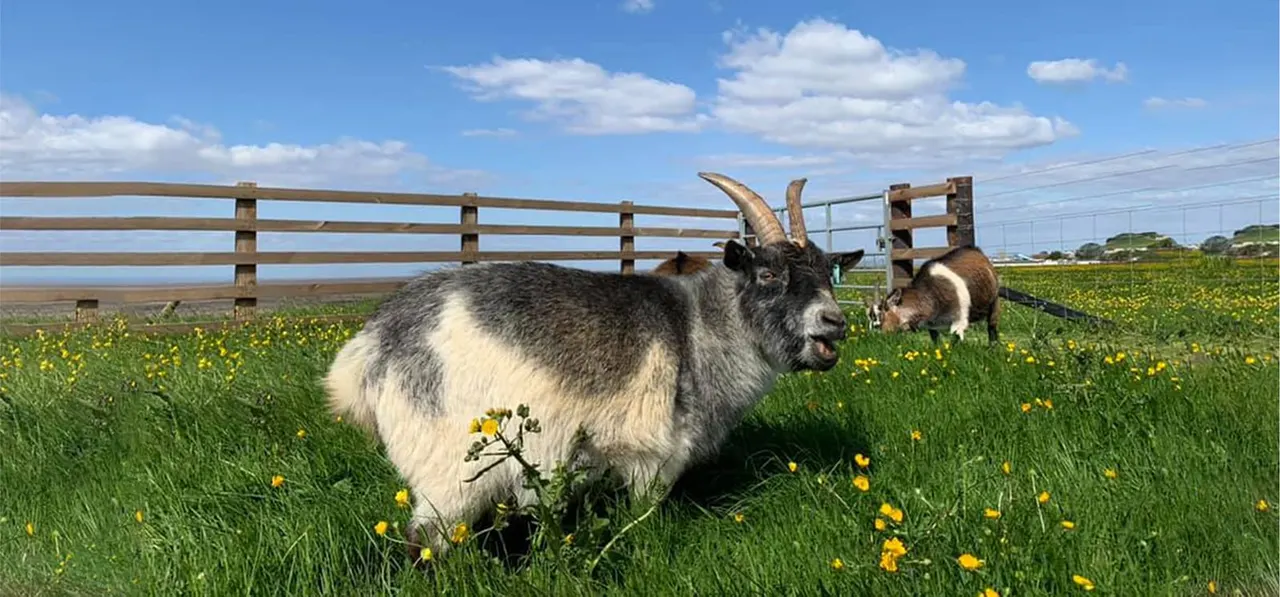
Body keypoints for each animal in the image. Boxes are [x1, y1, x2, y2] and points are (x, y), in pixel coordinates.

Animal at [323, 172, 867, 563]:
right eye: (768, 274)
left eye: (828, 273)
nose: (834, 322)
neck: (699, 328)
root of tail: (371, 347)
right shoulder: (653, 455)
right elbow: (644, 520)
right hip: (450, 465)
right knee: (425, 540)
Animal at [864, 245, 1001, 344]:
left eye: (881, 315)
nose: (878, 336)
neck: (930, 293)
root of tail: (976, 251)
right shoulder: (932, 325)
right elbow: (935, 340)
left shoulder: (959, 320)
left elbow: (956, 340)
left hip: (994, 302)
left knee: (992, 327)